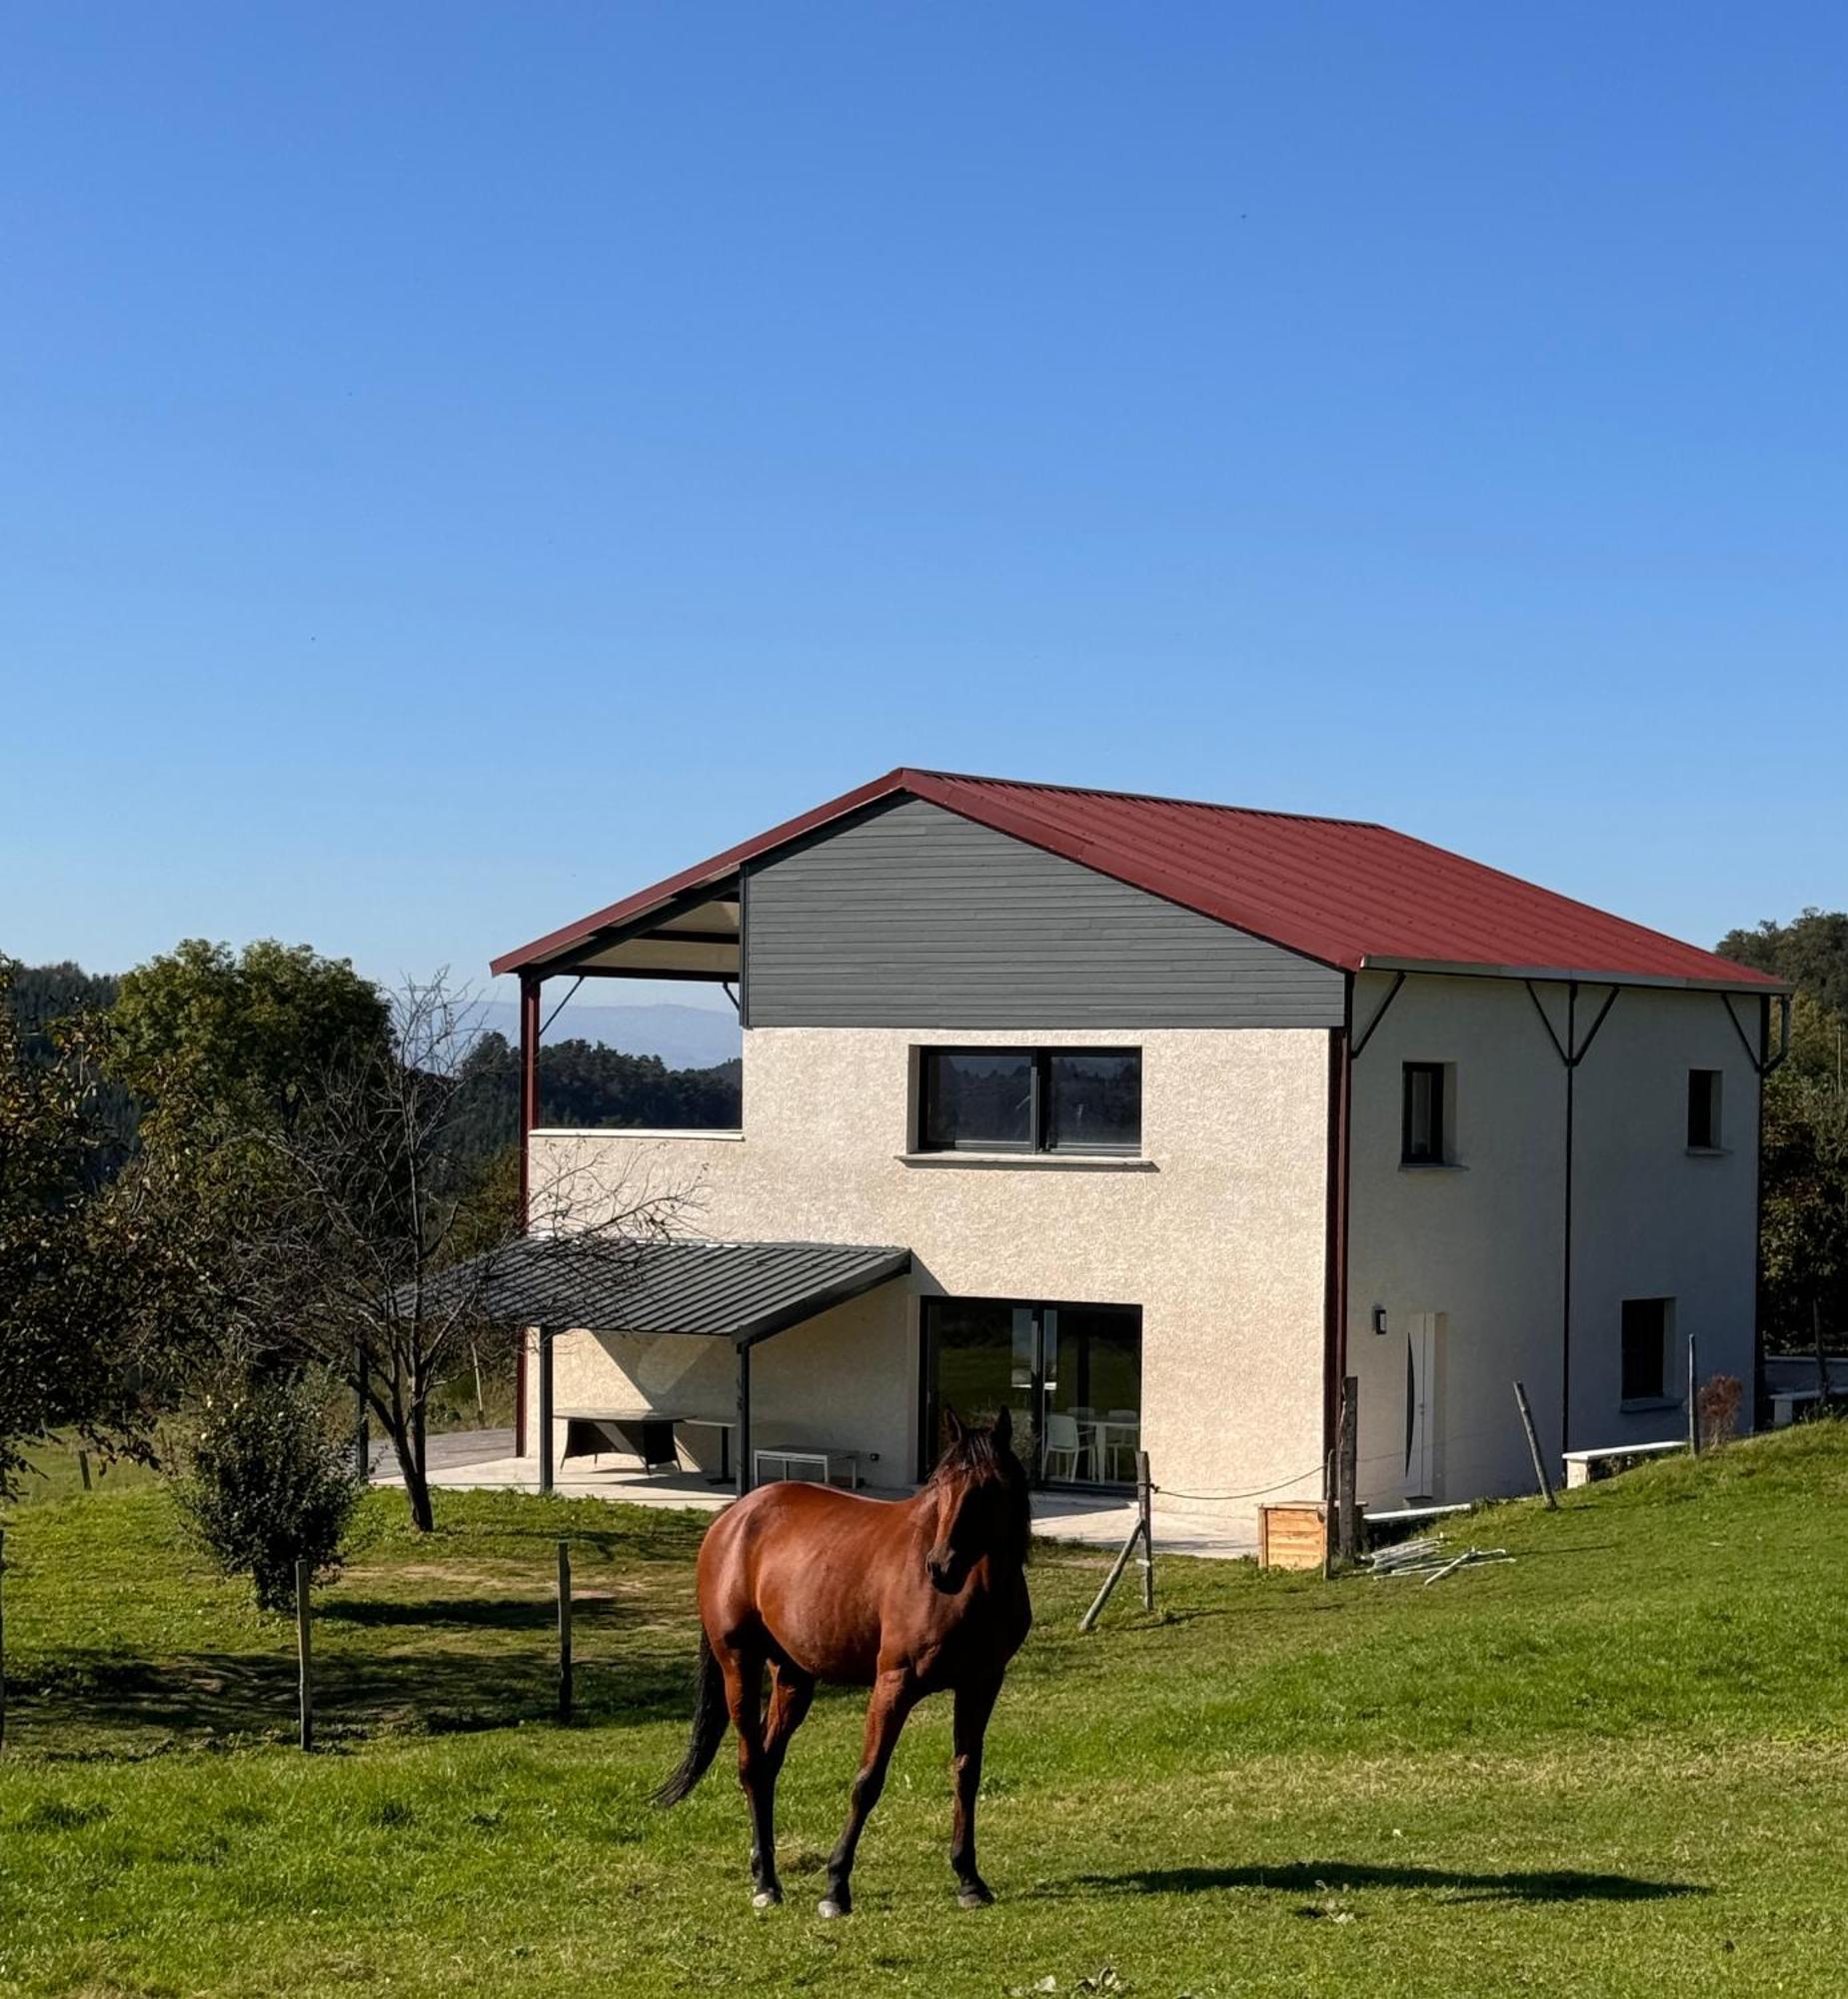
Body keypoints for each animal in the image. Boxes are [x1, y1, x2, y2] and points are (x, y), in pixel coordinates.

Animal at [656, 1407, 1031, 1919]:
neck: (973, 1594)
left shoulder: (982, 1683)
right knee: (752, 1764)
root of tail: (733, 1517)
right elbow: (868, 1781)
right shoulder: (894, 1684)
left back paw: (764, 1871)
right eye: (939, 1483)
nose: (940, 1566)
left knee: (767, 1766)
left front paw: (969, 1879)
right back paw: (766, 1884)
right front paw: (835, 1886)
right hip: (739, 1662)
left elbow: (966, 1773)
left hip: (792, 1677)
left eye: (988, 1488)